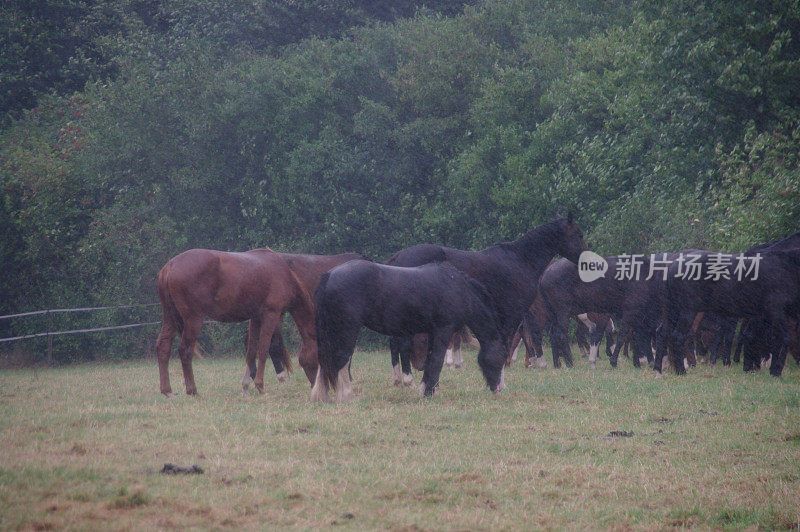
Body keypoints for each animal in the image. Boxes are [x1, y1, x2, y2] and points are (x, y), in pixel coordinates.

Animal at [155, 248, 318, 394]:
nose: (314, 385)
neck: (283, 273)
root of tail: (170, 266)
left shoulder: (256, 318)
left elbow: (251, 351)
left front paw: (246, 386)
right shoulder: (271, 315)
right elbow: (263, 349)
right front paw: (260, 386)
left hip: (170, 317)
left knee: (163, 347)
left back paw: (167, 391)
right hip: (193, 319)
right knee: (185, 350)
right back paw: (192, 390)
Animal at [310, 260, 506, 402]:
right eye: (501, 358)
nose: (498, 389)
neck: (457, 288)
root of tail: (329, 276)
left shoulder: (433, 333)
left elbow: (430, 360)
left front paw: (429, 389)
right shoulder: (444, 330)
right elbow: (437, 360)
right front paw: (428, 393)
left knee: (324, 361)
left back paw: (321, 396)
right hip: (346, 329)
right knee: (341, 358)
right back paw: (347, 396)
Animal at [384, 216, 584, 386]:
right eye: (577, 234)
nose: (585, 260)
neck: (520, 260)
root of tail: (397, 257)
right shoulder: (511, 315)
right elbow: (506, 343)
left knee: (395, 343)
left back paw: (398, 379)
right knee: (402, 343)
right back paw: (407, 379)